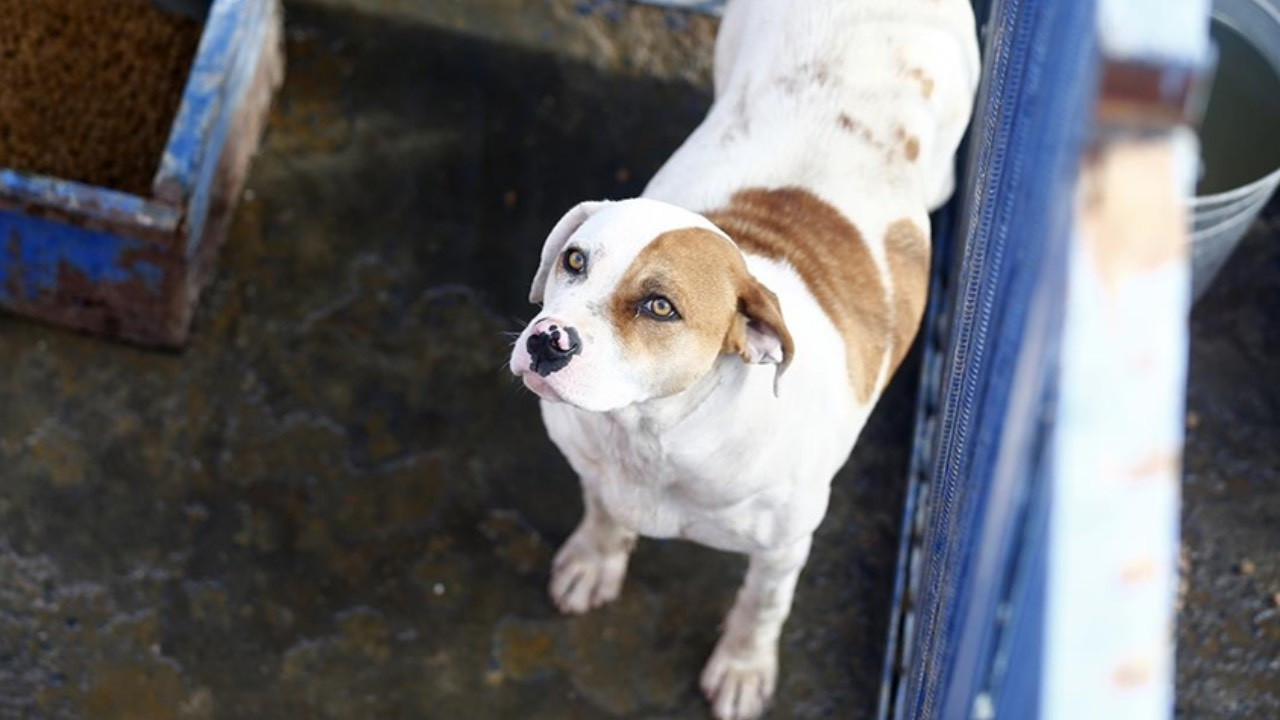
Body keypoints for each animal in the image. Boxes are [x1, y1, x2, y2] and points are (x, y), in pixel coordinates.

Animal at [504, 2, 972, 712]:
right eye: (574, 261)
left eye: (660, 307)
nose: (546, 340)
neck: (654, 432)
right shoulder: (594, 466)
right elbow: (603, 511)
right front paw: (595, 560)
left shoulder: (785, 544)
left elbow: (762, 606)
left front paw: (744, 668)